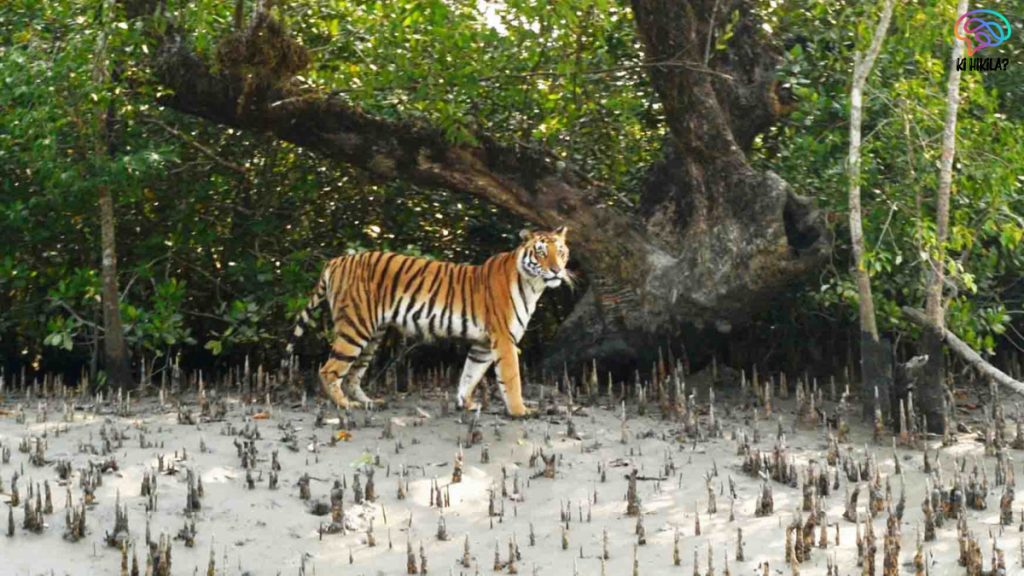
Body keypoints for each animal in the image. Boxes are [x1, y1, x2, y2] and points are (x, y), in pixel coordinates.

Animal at [285, 227, 571, 416]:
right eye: (541, 253)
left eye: (561, 252)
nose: (557, 270)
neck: (533, 285)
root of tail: (337, 259)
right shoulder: (504, 338)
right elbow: (511, 378)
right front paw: (520, 410)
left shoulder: (482, 345)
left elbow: (470, 374)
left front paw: (465, 404)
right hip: (355, 329)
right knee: (329, 370)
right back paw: (345, 405)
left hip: (372, 335)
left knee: (353, 375)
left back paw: (369, 402)